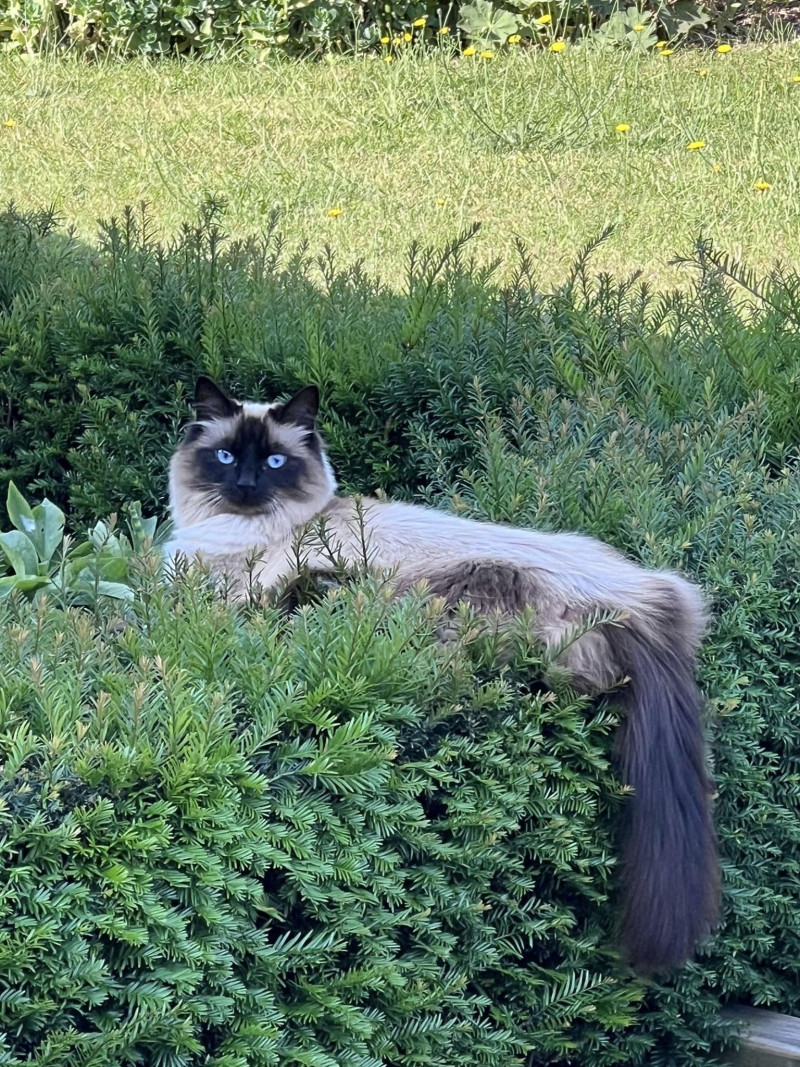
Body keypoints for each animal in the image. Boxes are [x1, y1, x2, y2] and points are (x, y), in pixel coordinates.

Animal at [166, 375, 725, 977]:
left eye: (273, 461)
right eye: (225, 456)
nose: (246, 487)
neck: (244, 535)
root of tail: (650, 599)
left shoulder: (233, 595)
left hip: (422, 597)